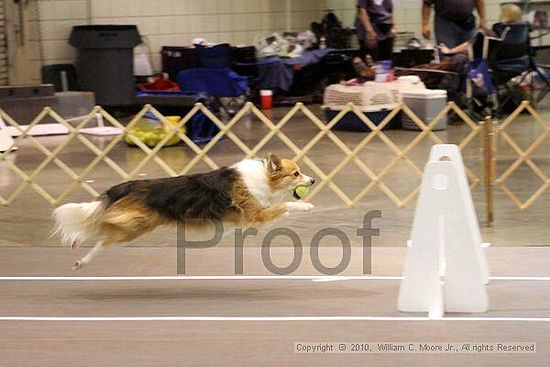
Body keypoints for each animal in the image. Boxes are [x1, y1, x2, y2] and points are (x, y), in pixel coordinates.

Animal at [54, 155, 316, 270]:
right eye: (296, 173)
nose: (312, 180)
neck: (264, 177)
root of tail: (130, 185)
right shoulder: (255, 216)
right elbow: (286, 205)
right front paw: (306, 206)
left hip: (134, 225)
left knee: (102, 233)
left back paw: (79, 255)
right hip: (137, 222)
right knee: (101, 222)